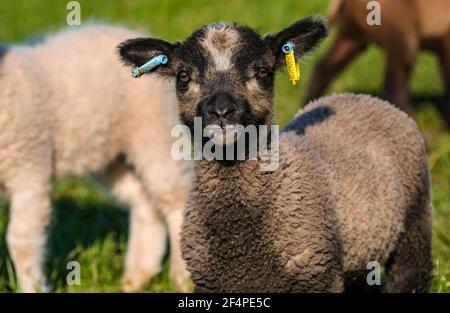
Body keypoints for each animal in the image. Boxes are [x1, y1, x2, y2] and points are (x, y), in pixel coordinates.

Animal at [0, 25, 192, 292]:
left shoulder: (30, 170)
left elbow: (21, 242)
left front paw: (33, 286)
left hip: (157, 136)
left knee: (176, 201)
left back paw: (183, 278)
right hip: (113, 157)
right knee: (144, 205)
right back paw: (136, 278)